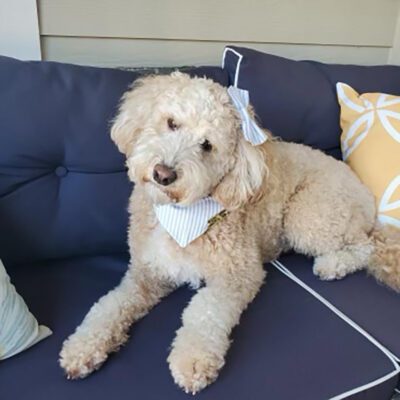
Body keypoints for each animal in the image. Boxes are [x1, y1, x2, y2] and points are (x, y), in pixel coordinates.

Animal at [59, 72, 400, 394]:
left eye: (207, 145)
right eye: (171, 123)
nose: (163, 174)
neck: (182, 216)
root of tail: (361, 189)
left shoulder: (238, 273)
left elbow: (205, 311)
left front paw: (192, 361)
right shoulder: (146, 272)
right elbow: (111, 304)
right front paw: (82, 347)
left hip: (309, 215)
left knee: (365, 245)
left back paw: (332, 265)